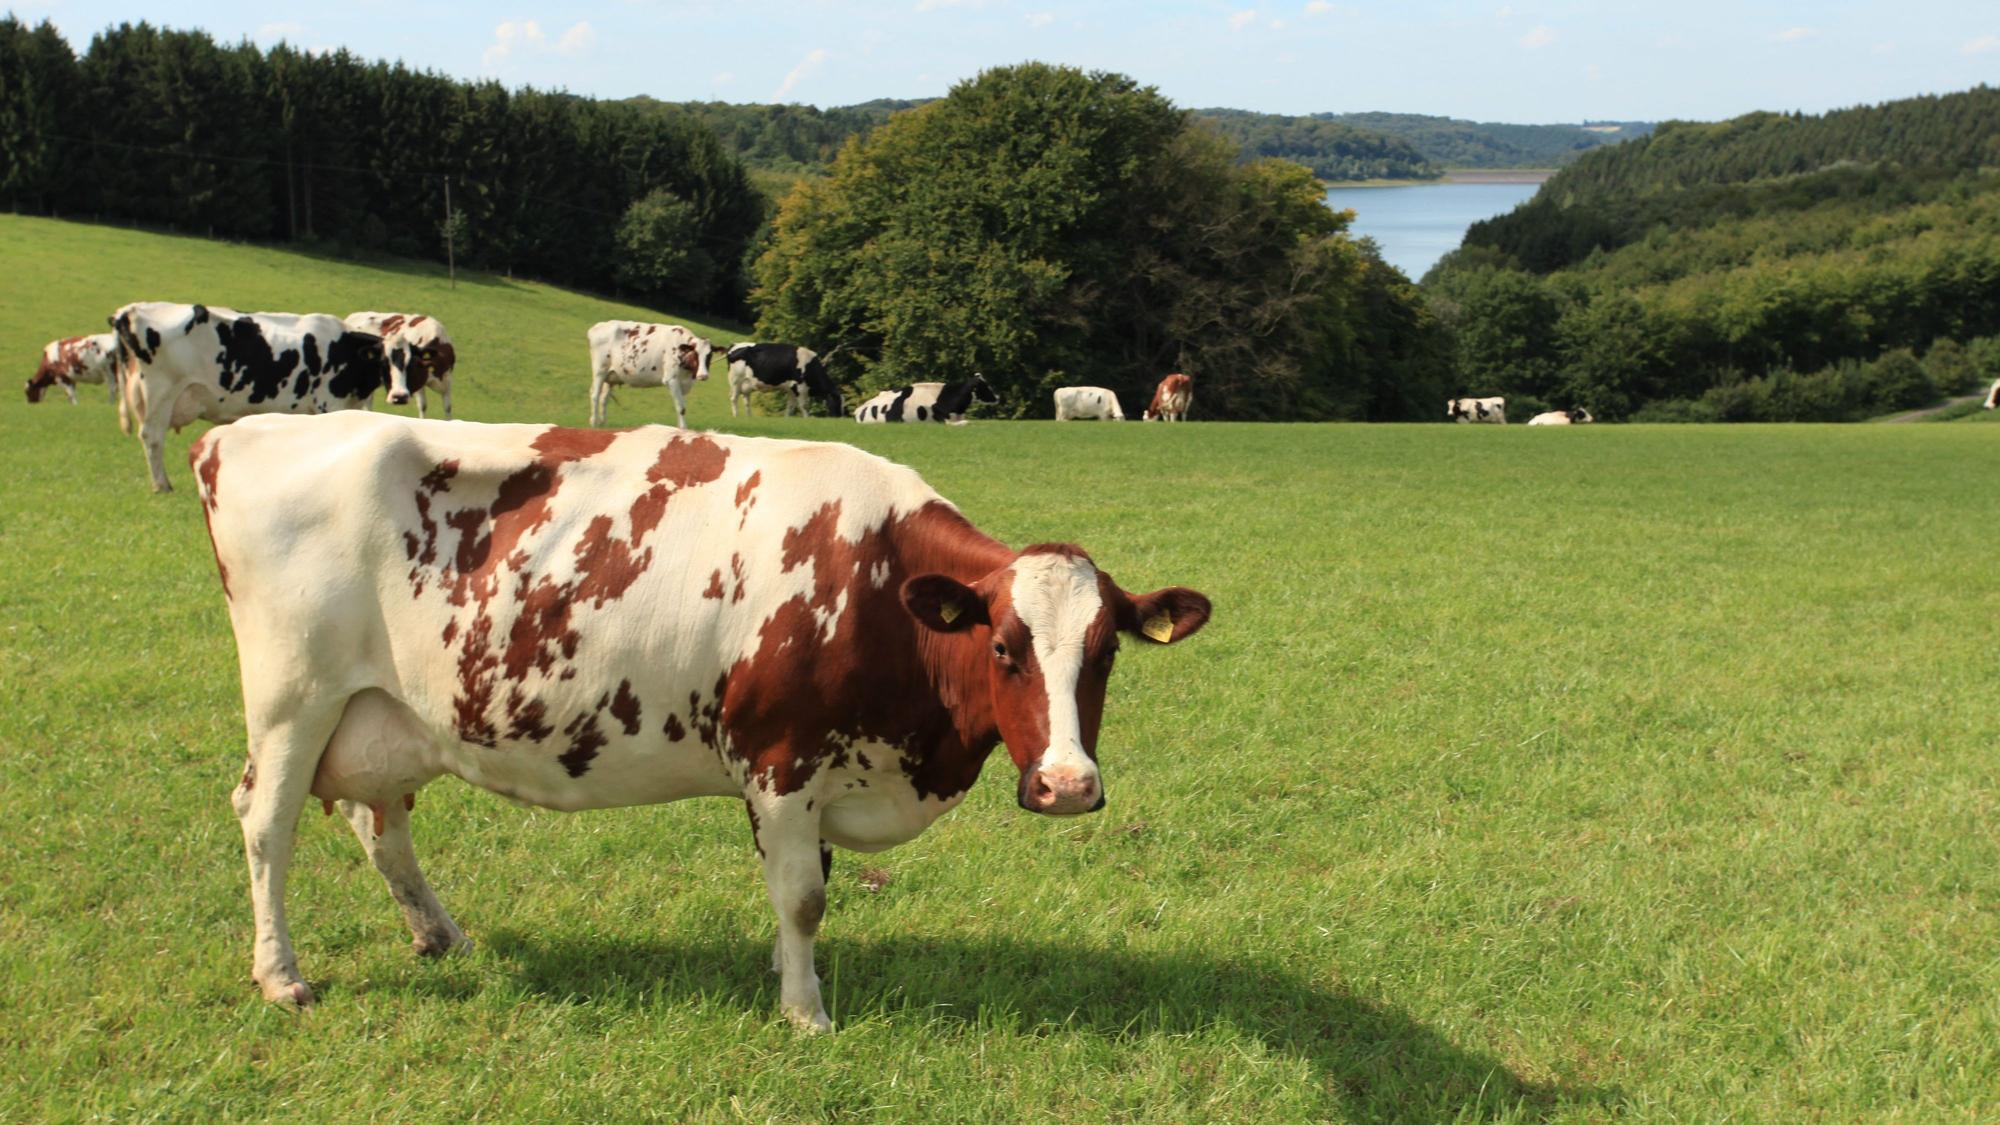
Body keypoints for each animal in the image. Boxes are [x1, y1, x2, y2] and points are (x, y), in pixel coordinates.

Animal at [109, 301, 388, 492]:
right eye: (387, 359)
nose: (397, 395)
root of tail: (131, 310)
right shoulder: (327, 404)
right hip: (161, 393)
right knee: (152, 437)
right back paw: (162, 485)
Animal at [192, 412, 1211, 1033]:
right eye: (1003, 645)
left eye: (1106, 650)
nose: (1067, 785)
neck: (872, 581)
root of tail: (244, 429)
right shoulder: (780, 759)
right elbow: (803, 896)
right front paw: (807, 1012)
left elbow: (804, 891)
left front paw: (789, 978)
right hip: (292, 699)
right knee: (265, 822)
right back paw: (281, 973)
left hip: (385, 715)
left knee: (381, 824)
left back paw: (442, 935)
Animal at [852, 375, 997, 424]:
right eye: (985, 387)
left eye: (988, 384)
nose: (997, 397)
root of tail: (859, 409)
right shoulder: (944, 421)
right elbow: (966, 423)